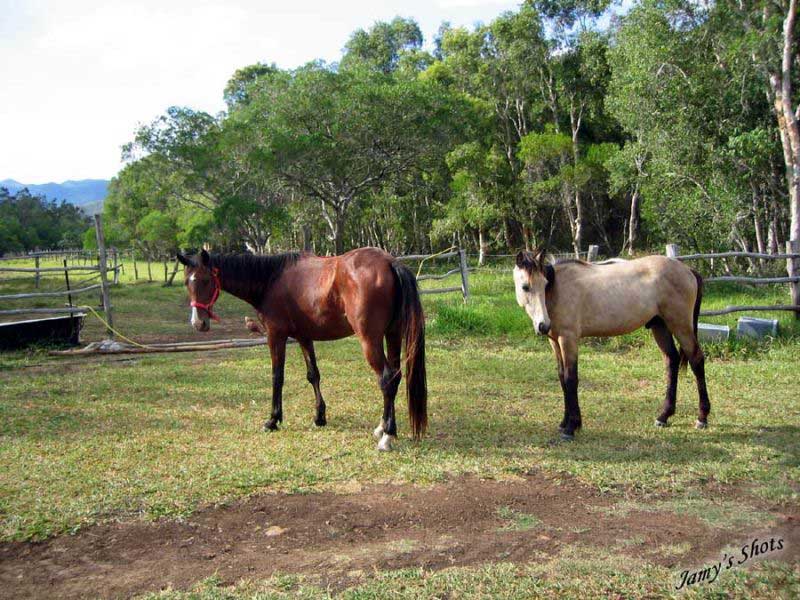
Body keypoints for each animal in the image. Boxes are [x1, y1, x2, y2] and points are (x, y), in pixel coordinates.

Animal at [176, 248, 427, 451]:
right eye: (187, 282)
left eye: (205, 280)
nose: (198, 323)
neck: (270, 279)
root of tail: (389, 262)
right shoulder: (304, 337)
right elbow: (313, 375)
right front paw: (319, 417)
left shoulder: (275, 336)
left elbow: (277, 376)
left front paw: (272, 420)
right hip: (392, 334)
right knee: (395, 377)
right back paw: (382, 427)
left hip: (370, 340)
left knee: (386, 379)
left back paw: (387, 436)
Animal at [513, 250, 710, 441]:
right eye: (525, 287)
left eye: (545, 284)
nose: (543, 325)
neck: (558, 290)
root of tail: (687, 270)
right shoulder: (554, 342)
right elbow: (562, 379)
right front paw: (564, 423)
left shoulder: (568, 339)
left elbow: (570, 379)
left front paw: (571, 427)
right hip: (660, 326)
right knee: (671, 361)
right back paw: (664, 416)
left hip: (680, 326)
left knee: (696, 360)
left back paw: (702, 418)